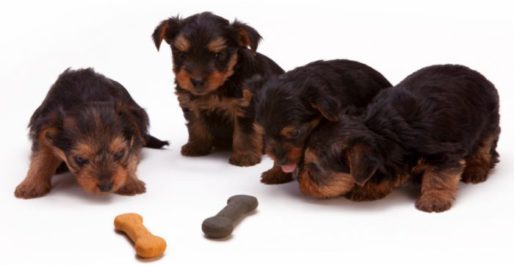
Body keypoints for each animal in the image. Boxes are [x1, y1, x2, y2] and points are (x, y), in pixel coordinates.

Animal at [15, 67, 167, 198]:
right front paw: (31, 185)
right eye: (80, 159)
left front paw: (129, 182)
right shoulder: (44, 129)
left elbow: (131, 158)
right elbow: (40, 157)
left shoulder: (134, 134)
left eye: (119, 154)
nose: (106, 186)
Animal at [152, 13, 284, 166]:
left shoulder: (245, 105)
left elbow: (245, 131)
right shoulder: (191, 103)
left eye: (218, 55)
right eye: (182, 54)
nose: (197, 81)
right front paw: (197, 146)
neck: (222, 84)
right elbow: (195, 125)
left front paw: (245, 155)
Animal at [298, 64, 498, 212]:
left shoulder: (444, 153)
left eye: (313, 168)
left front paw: (434, 198)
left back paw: (476, 169)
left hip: (488, 122)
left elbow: (439, 176)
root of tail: (479, 75)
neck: (379, 130)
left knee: (484, 148)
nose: (298, 177)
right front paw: (369, 188)